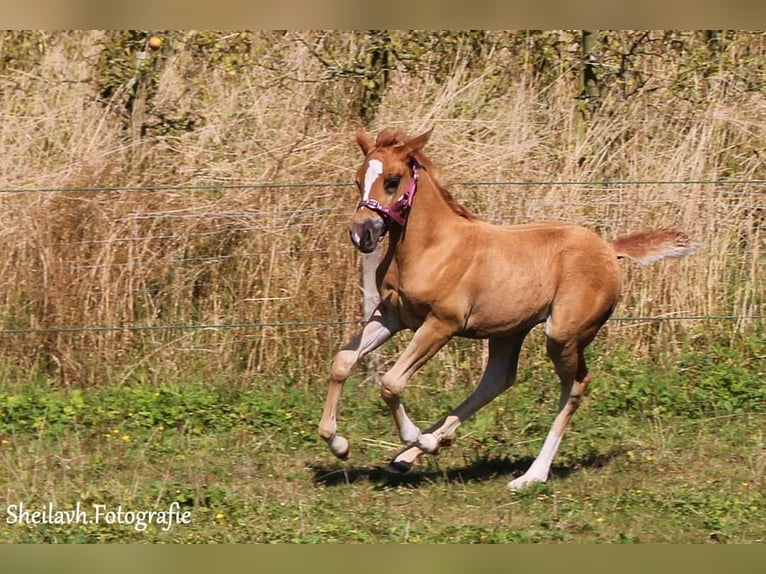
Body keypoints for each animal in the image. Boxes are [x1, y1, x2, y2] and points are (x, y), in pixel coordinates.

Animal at [316, 128, 696, 492]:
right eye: (358, 179)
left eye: (393, 180)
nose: (361, 233)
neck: (431, 247)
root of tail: (608, 248)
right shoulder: (391, 316)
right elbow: (342, 361)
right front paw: (339, 444)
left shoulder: (440, 324)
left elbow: (391, 382)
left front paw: (414, 437)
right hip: (509, 331)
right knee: (497, 380)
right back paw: (410, 455)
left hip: (562, 334)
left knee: (575, 385)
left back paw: (530, 476)